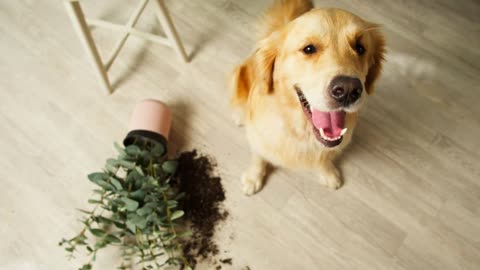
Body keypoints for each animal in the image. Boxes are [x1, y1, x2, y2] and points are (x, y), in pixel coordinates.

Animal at [230, 0, 386, 195]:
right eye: (309, 49)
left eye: (360, 48)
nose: (348, 90)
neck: (301, 132)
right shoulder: (258, 138)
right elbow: (258, 157)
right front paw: (253, 177)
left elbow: (323, 158)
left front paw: (328, 173)